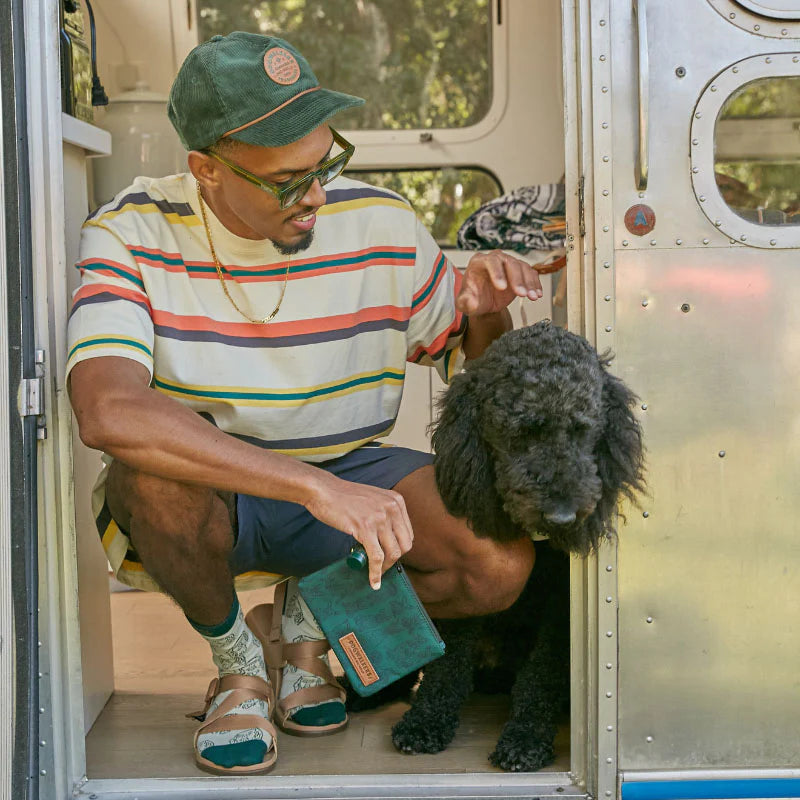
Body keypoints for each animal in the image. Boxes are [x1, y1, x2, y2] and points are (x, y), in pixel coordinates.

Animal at [346, 322, 648, 772]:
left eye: (582, 428)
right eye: (520, 432)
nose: (562, 517)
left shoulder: (560, 603)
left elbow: (541, 675)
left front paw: (525, 737)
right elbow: (447, 665)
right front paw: (425, 721)